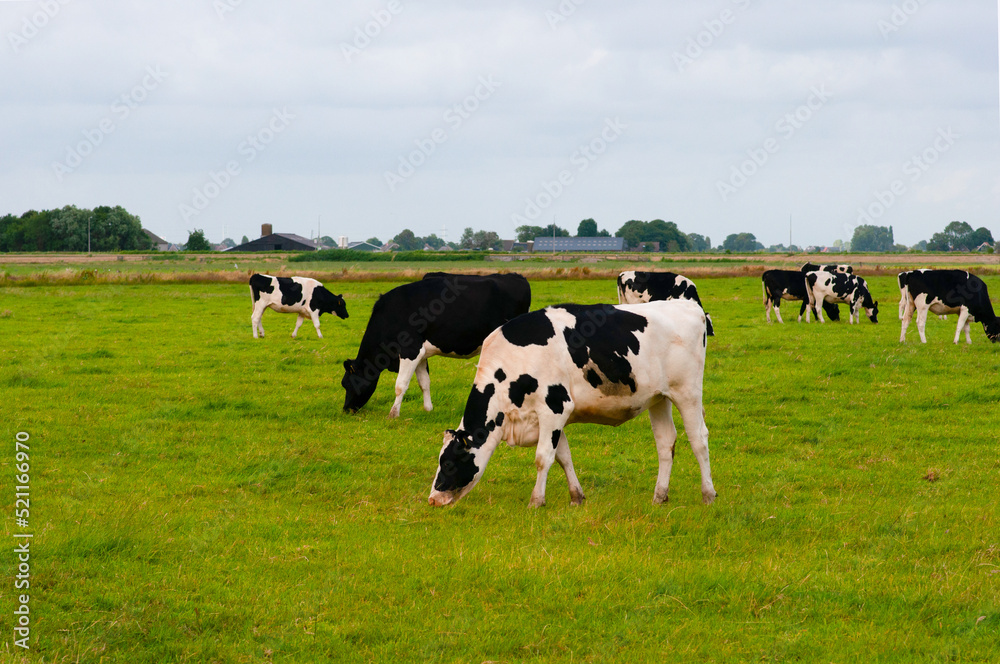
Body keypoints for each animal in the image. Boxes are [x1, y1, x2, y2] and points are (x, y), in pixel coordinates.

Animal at [342, 272, 532, 418]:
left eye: (348, 384)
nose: (346, 410)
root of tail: (516, 276)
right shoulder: (420, 354)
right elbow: (424, 382)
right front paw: (428, 409)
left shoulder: (410, 351)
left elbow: (400, 385)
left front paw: (393, 414)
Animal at [426, 300, 716, 508]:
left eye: (448, 463)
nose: (432, 499)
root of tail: (689, 306)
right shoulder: (552, 417)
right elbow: (563, 456)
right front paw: (576, 497)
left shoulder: (555, 406)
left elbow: (543, 457)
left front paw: (536, 502)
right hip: (659, 398)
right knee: (666, 442)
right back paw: (659, 496)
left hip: (688, 392)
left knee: (699, 439)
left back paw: (708, 494)